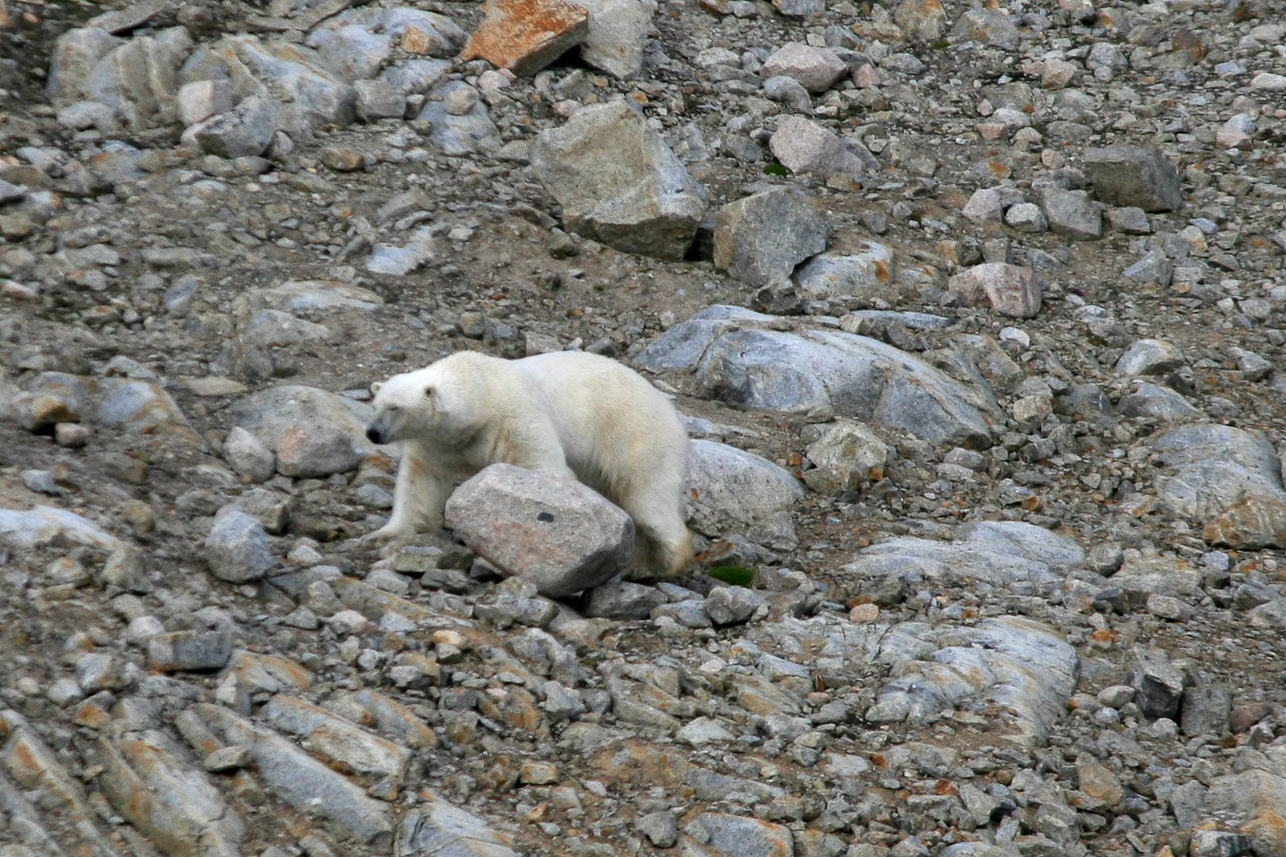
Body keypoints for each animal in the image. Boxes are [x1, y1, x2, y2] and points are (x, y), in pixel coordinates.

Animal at [362, 347, 694, 573]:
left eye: (395, 407)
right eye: (375, 404)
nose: (372, 432)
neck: (480, 390)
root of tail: (669, 408)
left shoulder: (514, 418)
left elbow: (543, 468)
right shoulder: (436, 443)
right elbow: (420, 483)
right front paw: (381, 535)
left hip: (634, 435)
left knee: (648, 497)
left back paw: (657, 566)